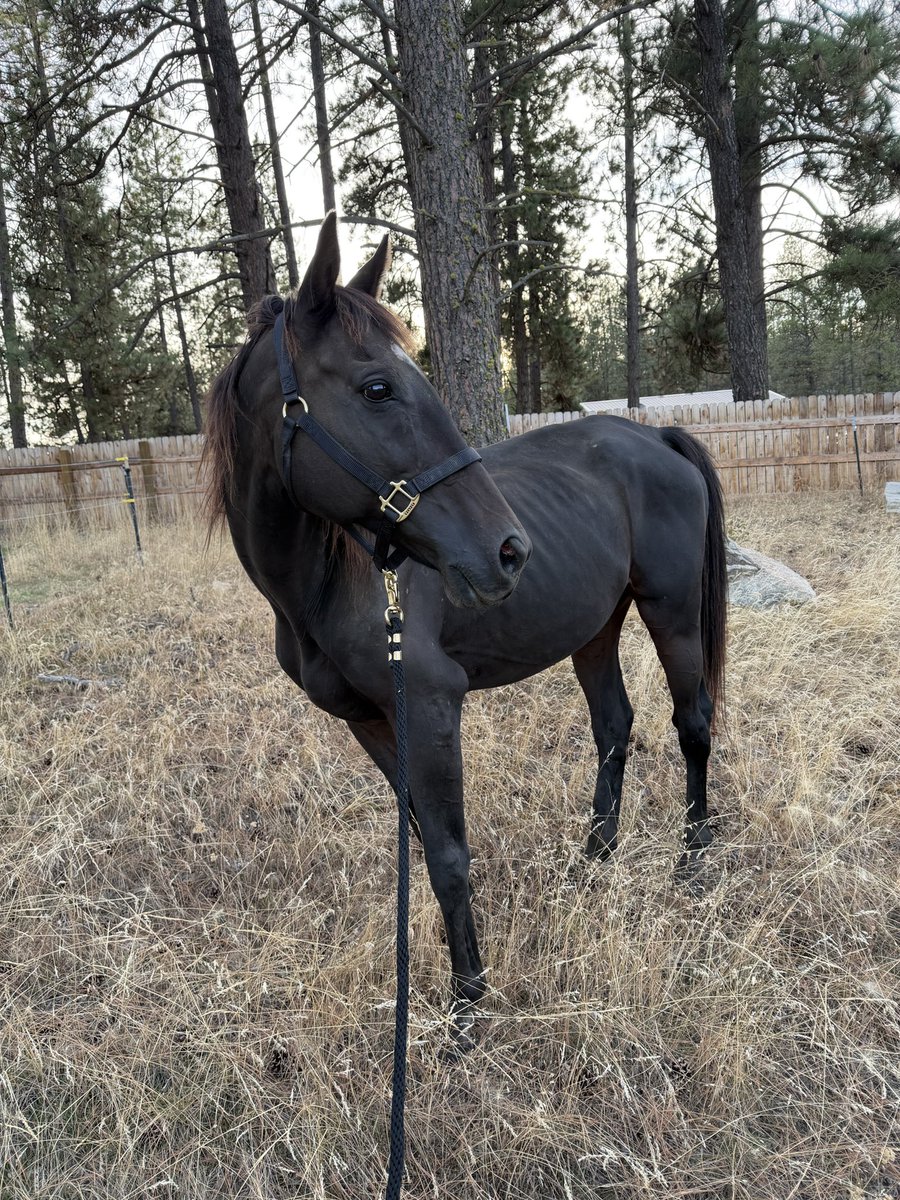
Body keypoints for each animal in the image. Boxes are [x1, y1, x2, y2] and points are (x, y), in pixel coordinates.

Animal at [205, 213, 727, 1051]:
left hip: (672, 613)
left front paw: (467, 1006)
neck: (331, 584)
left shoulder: (430, 707)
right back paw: (595, 859)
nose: (509, 551)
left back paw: (693, 861)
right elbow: (424, 841)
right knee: (615, 726)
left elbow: (450, 854)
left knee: (693, 724)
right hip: (594, 628)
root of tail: (658, 438)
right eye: (377, 388)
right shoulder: (371, 722)